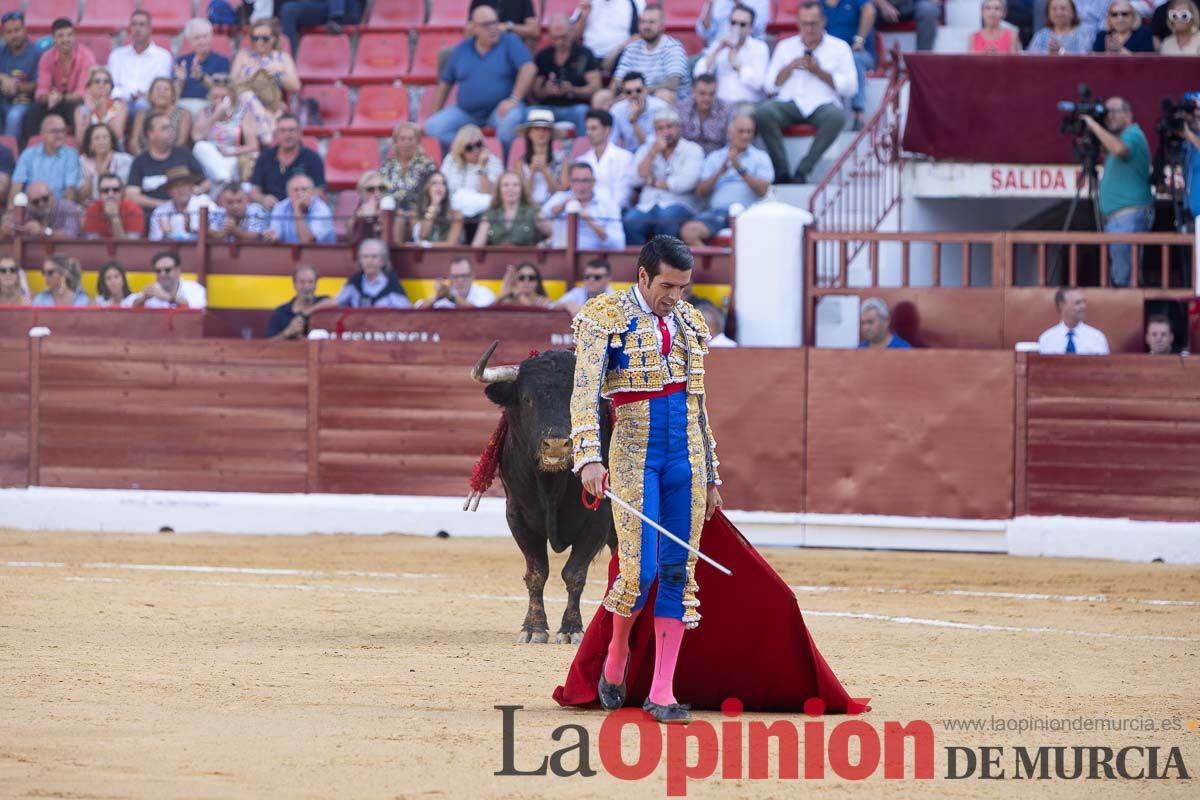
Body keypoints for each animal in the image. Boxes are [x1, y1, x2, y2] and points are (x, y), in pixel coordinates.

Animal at [470, 340, 619, 647]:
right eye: (527, 399)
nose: (557, 445)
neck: (552, 484)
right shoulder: (517, 516)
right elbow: (537, 572)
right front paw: (534, 628)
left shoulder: (597, 520)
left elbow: (574, 573)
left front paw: (571, 629)